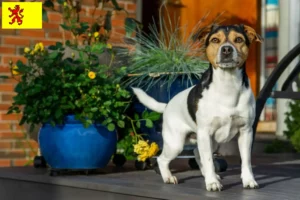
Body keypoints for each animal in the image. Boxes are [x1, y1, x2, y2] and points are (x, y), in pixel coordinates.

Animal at [132, 24, 262, 191]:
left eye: (238, 39)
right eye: (215, 40)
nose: (227, 49)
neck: (228, 85)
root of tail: (167, 105)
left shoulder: (245, 132)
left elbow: (246, 161)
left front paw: (248, 180)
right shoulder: (205, 133)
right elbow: (209, 160)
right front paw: (212, 183)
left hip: (210, 141)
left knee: (197, 153)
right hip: (177, 143)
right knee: (163, 159)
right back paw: (169, 177)